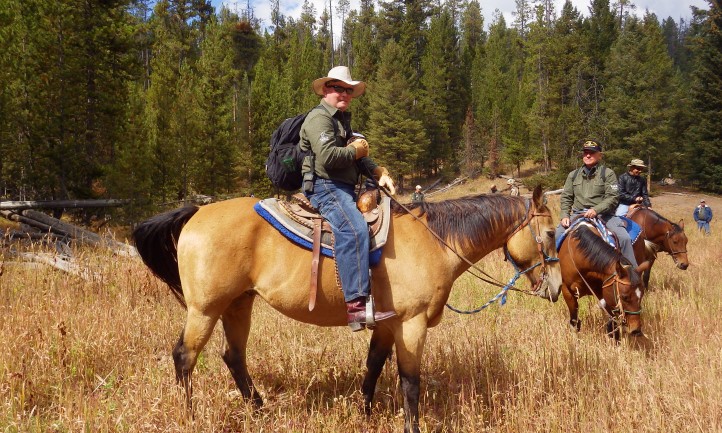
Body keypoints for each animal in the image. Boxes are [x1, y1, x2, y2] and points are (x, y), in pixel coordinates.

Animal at [132, 186, 560, 432]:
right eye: (551, 232)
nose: (556, 288)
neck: (434, 241)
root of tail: (196, 214)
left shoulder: (387, 324)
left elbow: (373, 366)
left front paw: (364, 414)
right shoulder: (412, 324)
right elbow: (410, 382)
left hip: (238, 304)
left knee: (232, 356)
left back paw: (259, 409)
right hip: (205, 309)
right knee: (185, 357)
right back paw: (190, 416)